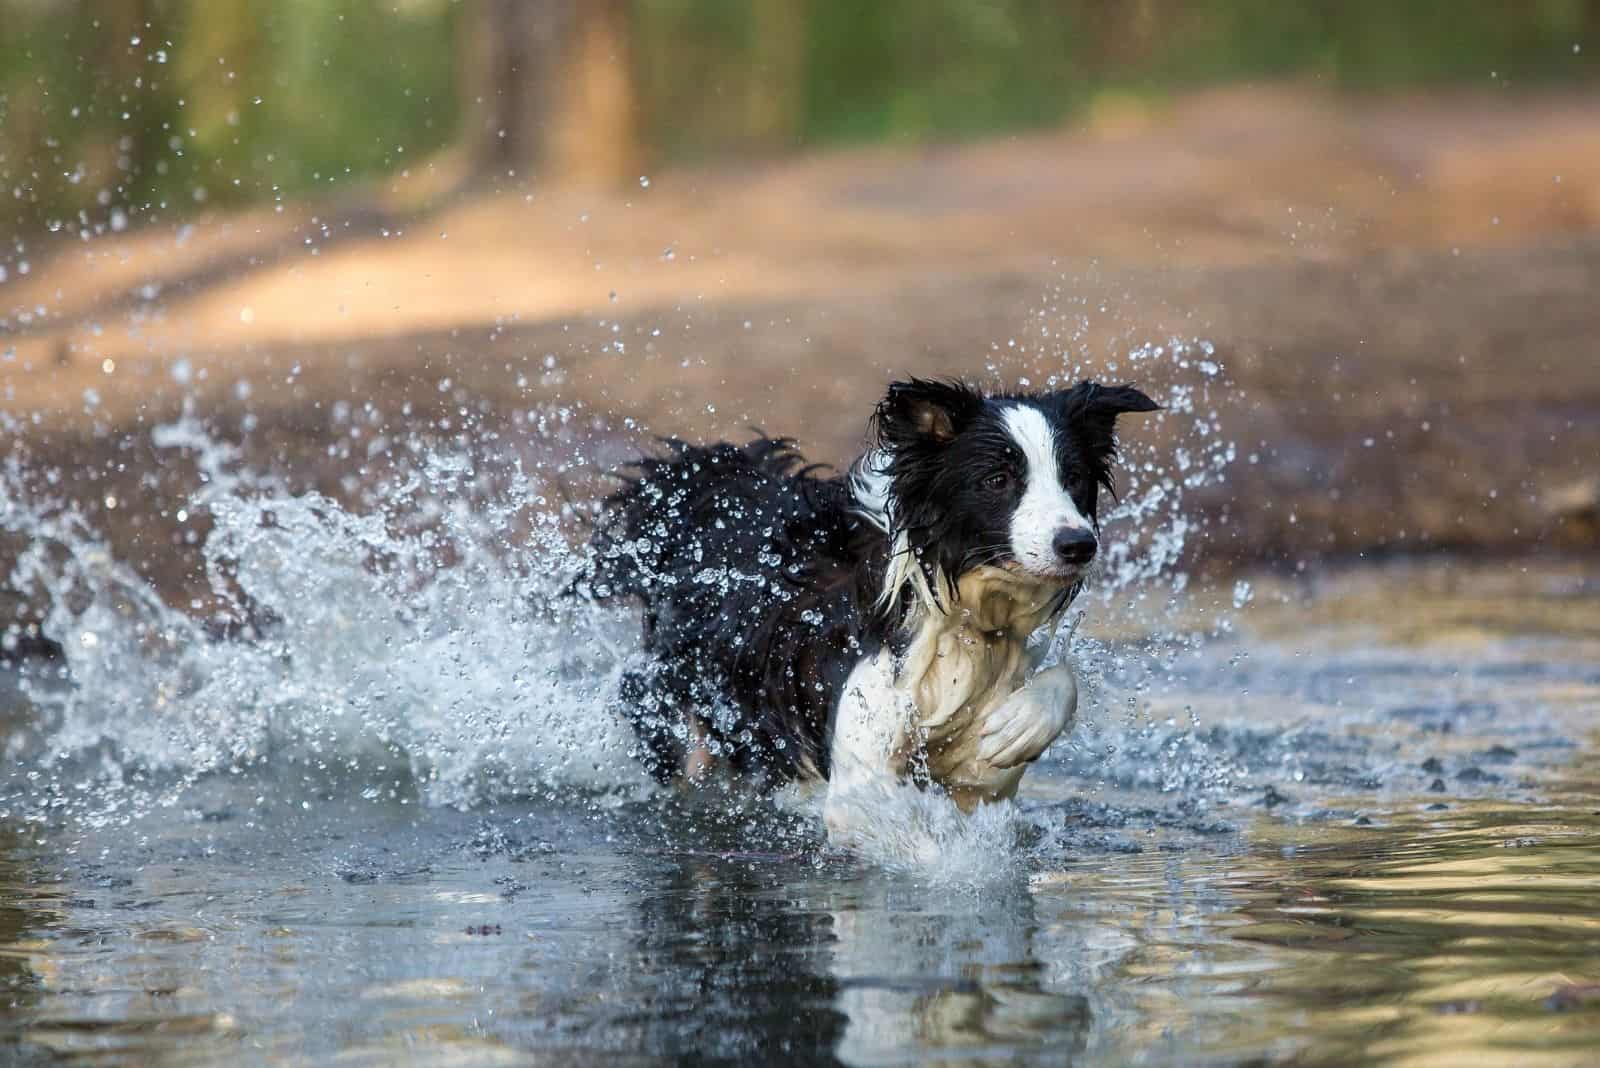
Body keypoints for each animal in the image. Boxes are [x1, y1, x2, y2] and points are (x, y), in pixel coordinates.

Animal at [585, 382, 1152, 824]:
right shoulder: (864, 753)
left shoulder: (978, 762)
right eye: (998, 480)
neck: (950, 604)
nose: (1078, 545)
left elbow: (1054, 687)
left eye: (1073, 478)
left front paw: (1020, 724)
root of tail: (702, 474)